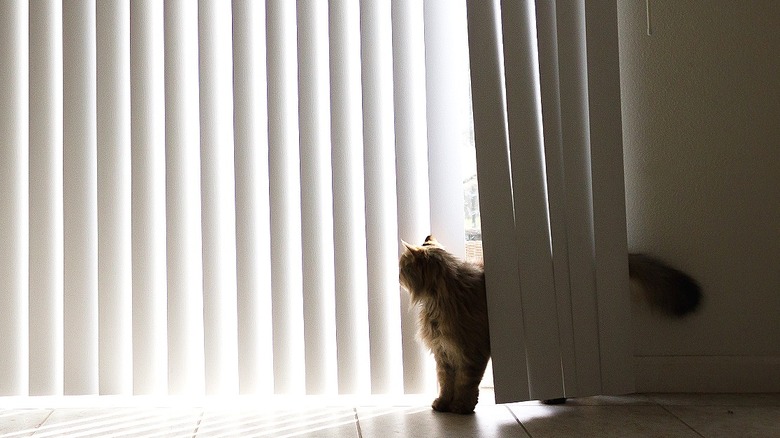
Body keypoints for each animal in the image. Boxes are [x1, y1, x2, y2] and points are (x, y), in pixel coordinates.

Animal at [402, 234, 700, 412]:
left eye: (403, 266)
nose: (397, 275)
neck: (439, 297)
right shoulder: (444, 353)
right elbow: (445, 382)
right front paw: (443, 404)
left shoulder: (471, 350)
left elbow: (465, 383)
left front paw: (462, 408)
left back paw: (556, 398)